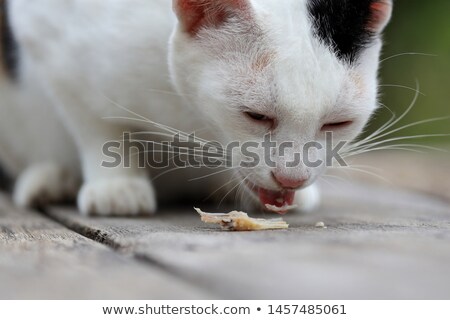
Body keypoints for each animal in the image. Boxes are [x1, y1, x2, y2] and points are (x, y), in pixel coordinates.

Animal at [0, 0, 392, 215]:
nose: (291, 178)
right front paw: (116, 185)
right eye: (256, 115)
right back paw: (51, 179)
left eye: (337, 123)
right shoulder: (44, 35)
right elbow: (94, 123)